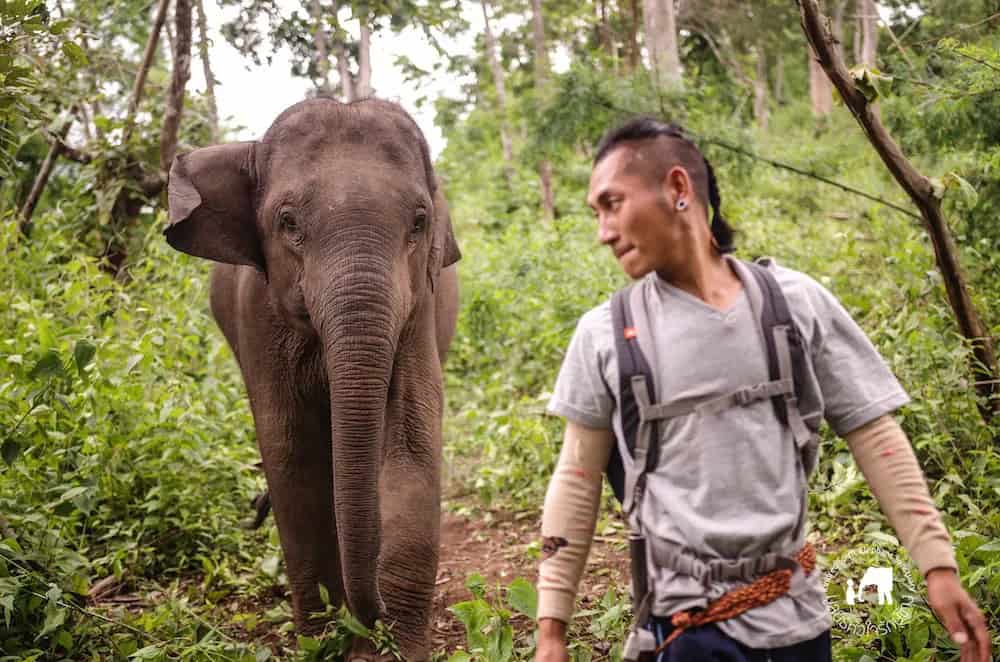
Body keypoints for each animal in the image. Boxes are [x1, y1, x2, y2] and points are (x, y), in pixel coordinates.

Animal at [164, 96, 460, 660]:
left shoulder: (420, 307)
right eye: (288, 222)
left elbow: (411, 438)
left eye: (419, 221)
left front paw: (397, 646)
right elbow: (291, 449)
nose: (373, 615)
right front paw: (323, 641)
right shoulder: (257, 315)